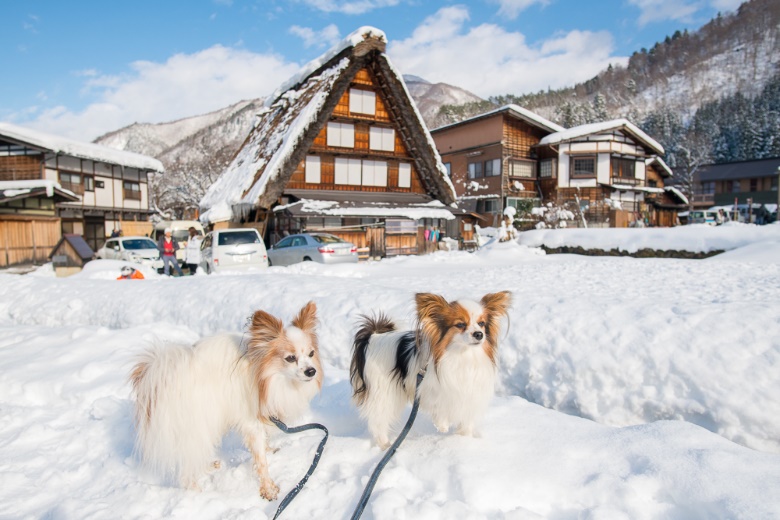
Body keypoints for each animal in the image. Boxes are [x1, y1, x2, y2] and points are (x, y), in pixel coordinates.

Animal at [129, 304, 322, 500]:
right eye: (290, 358)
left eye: (311, 354)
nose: (311, 371)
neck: (265, 375)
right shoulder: (251, 422)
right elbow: (261, 461)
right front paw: (268, 488)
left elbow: (264, 444)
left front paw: (270, 450)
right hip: (198, 424)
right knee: (186, 472)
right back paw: (198, 495)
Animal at [348, 292, 508, 446]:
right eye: (460, 324)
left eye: (481, 323)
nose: (479, 334)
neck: (464, 354)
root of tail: (373, 337)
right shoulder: (429, 387)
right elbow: (438, 405)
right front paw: (442, 424)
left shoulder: (469, 396)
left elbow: (466, 422)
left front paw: (463, 438)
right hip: (383, 393)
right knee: (378, 422)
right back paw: (386, 446)